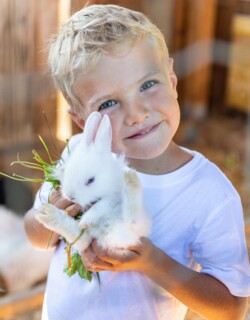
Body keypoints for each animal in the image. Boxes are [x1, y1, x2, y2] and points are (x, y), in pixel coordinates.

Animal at [35, 111, 150, 254]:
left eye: (91, 180)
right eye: (68, 172)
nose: (70, 196)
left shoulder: (113, 197)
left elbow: (100, 206)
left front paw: (86, 220)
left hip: (136, 222)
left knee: (132, 218)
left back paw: (130, 179)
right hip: (88, 239)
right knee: (80, 237)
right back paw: (48, 215)